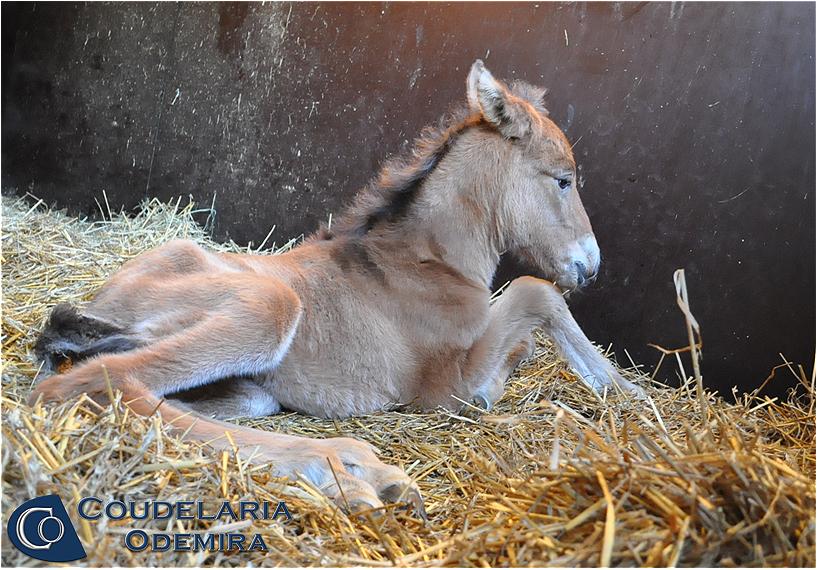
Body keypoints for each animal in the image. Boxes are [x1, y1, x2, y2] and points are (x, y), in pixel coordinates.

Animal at [30, 61, 636, 510]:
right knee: (89, 385)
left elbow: (524, 334)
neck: (425, 264)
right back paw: (352, 471)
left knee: (156, 400)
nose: (591, 264)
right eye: (563, 180)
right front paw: (623, 390)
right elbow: (536, 291)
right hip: (270, 308)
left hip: (247, 389)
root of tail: (104, 299)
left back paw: (353, 471)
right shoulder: (444, 389)